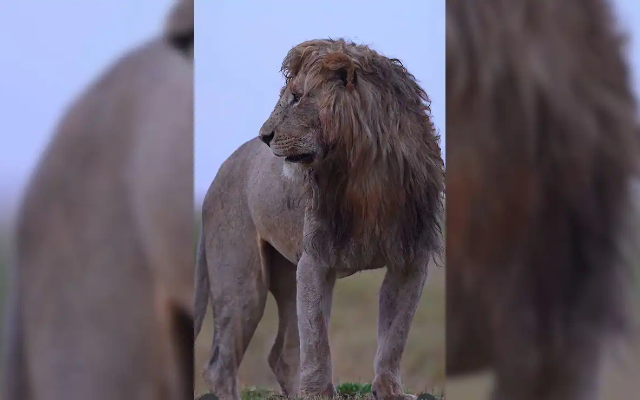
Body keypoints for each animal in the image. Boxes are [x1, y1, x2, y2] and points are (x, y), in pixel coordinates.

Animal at [194, 38, 445, 399]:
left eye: (297, 97)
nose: (264, 136)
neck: (365, 175)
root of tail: (217, 175)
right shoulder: (316, 260)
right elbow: (316, 339)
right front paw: (319, 392)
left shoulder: (410, 259)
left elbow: (396, 333)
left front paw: (389, 390)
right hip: (242, 280)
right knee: (221, 364)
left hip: (285, 273)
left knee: (281, 353)